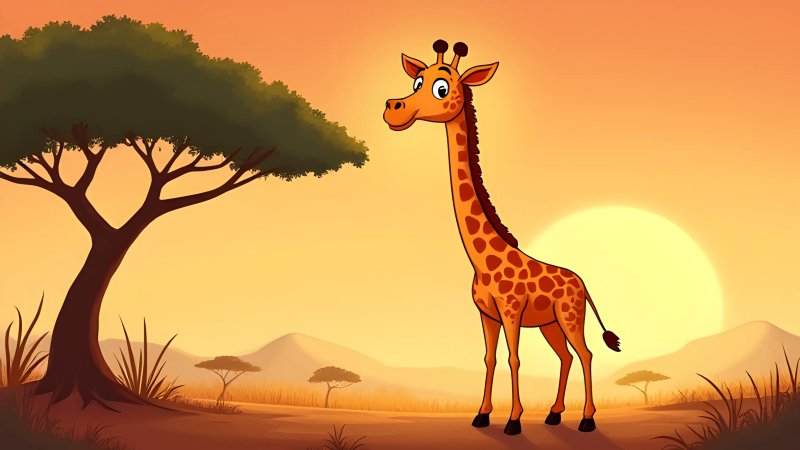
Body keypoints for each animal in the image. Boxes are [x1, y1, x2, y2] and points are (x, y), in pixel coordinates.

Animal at [383, 40, 621, 436]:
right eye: (416, 81)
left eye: (441, 88)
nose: (392, 108)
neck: (481, 260)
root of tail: (582, 284)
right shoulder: (486, 315)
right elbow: (490, 358)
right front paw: (481, 415)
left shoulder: (510, 312)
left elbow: (513, 358)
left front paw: (513, 420)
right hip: (550, 324)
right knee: (567, 356)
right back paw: (554, 413)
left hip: (570, 317)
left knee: (585, 353)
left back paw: (587, 419)